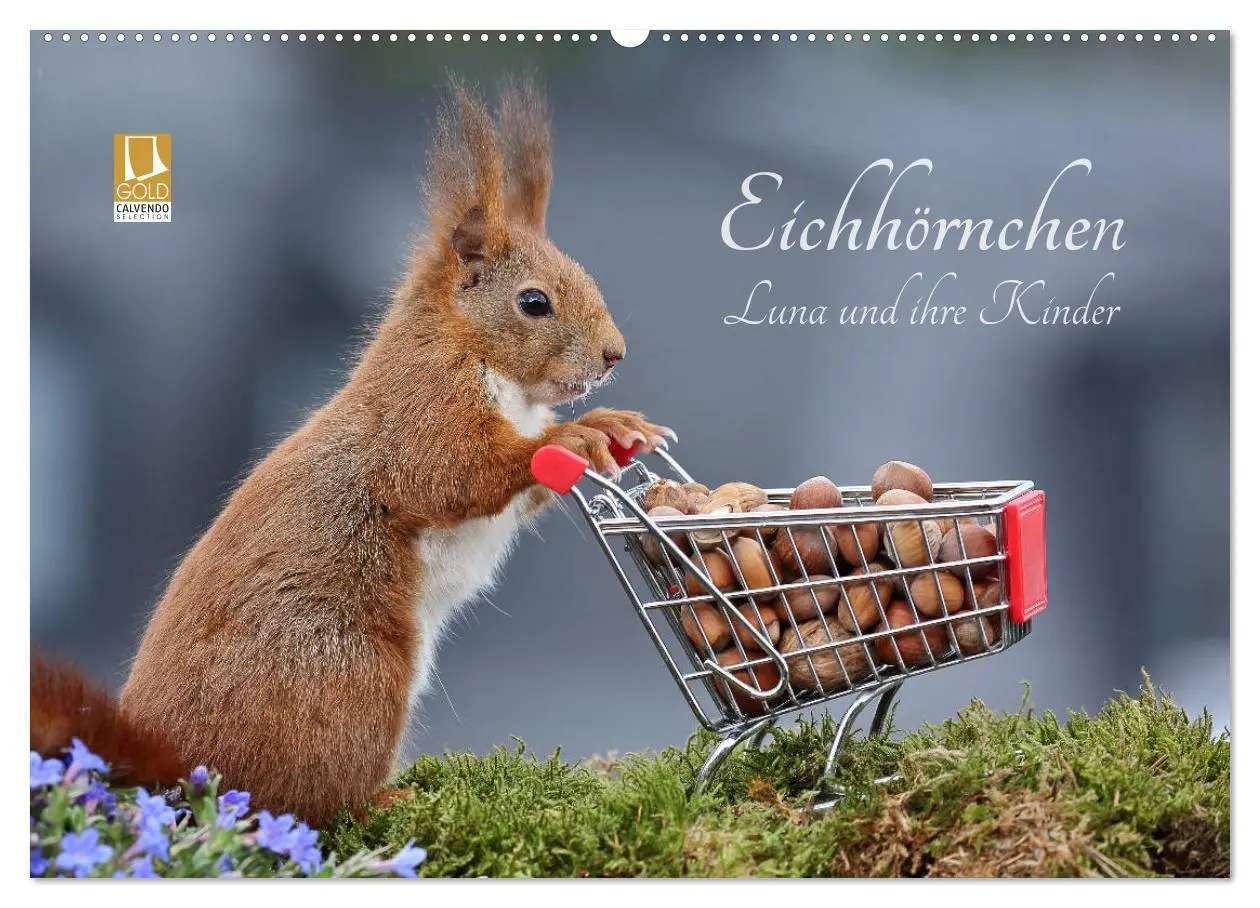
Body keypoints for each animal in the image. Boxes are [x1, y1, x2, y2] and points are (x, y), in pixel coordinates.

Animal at [30, 77, 671, 826]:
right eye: (533, 302)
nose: (615, 355)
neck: (489, 366)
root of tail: (175, 765)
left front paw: (616, 426)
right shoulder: (422, 410)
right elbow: (452, 473)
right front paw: (576, 434)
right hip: (348, 673)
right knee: (309, 802)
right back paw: (385, 799)